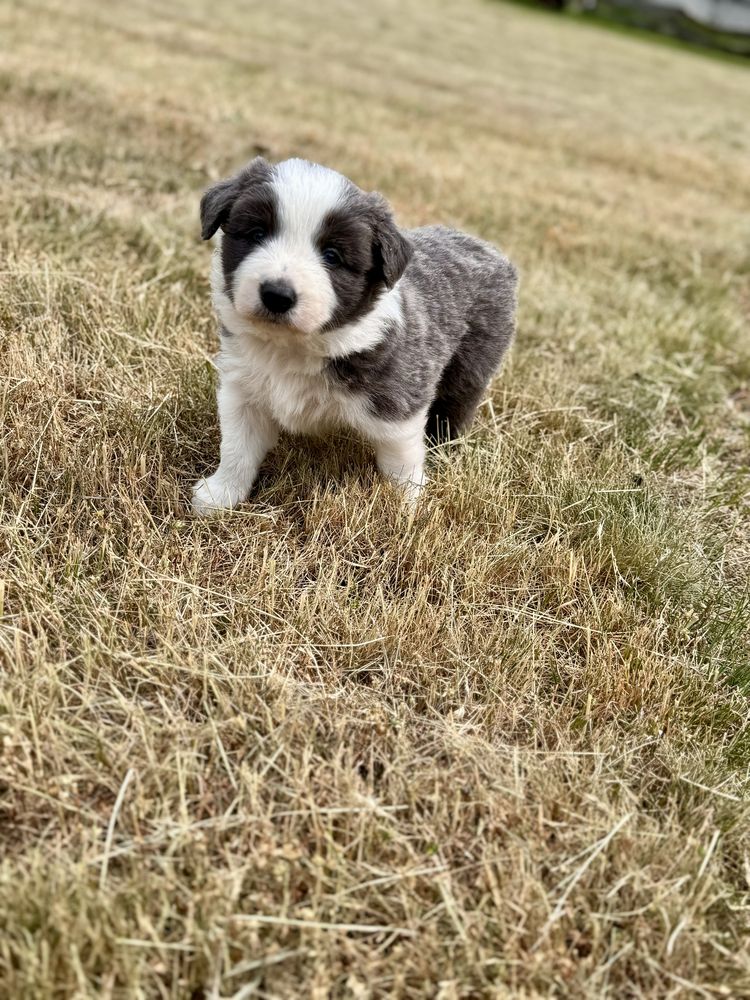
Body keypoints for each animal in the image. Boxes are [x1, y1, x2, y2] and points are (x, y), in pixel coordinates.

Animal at [194, 158, 516, 516]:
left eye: (332, 256)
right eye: (256, 234)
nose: (277, 295)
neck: (294, 346)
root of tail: (488, 248)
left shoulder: (398, 404)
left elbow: (401, 463)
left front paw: (407, 510)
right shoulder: (244, 391)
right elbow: (238, 448)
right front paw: (220, 496)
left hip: (471, 365)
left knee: (455, 407)